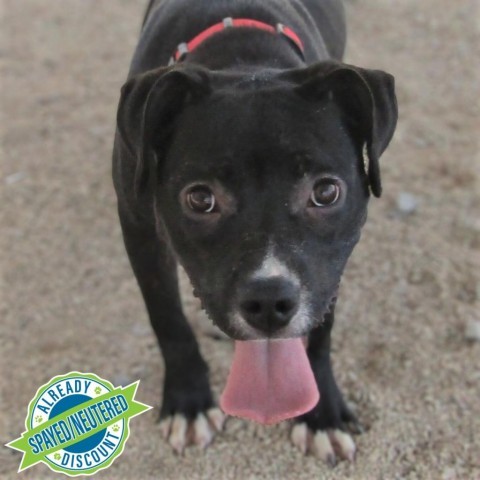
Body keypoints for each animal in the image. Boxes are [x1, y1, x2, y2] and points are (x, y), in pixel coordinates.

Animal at [112, 0, 398, 464]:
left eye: (325, 191)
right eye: (200, 198)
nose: (268, 302)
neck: (246, 64)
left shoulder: (329, 271)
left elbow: (322, 330)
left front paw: (322, 414)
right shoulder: (139, 228)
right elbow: (167, 317)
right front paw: (189, 402)